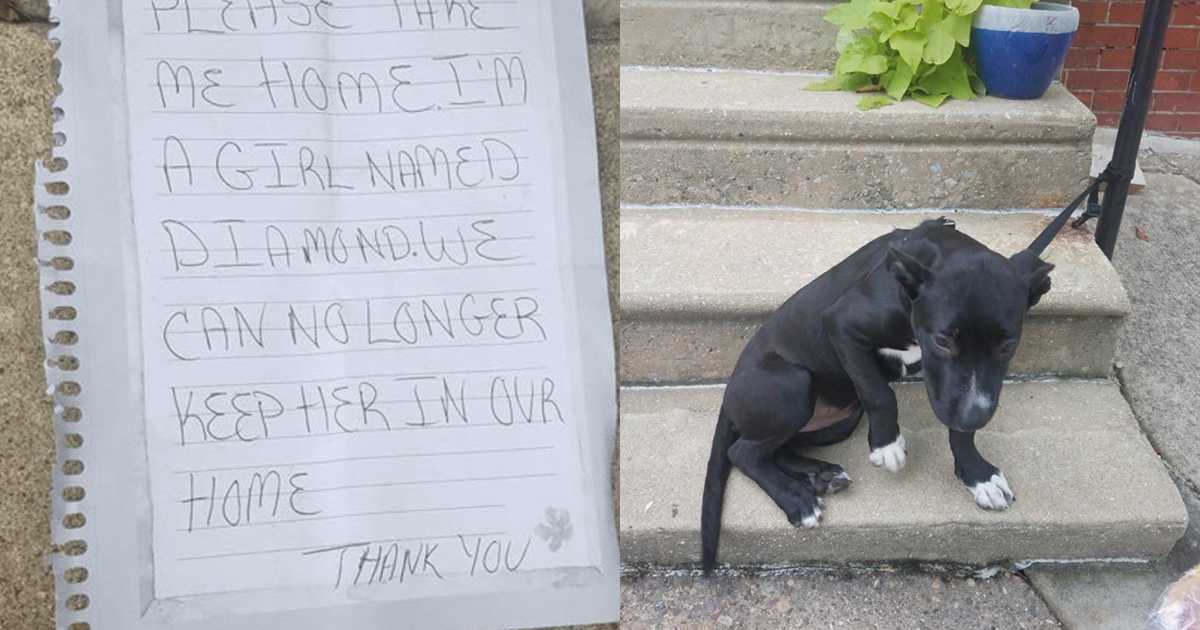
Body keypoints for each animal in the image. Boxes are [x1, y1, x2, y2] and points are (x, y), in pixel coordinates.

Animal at [700, 218, 1056, 571]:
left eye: (1007, 346)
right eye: (942, 340)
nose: (976, 416)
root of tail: (728, 394)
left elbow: (959, 431)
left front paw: (977, 475)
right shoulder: (841, 325)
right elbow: (880, 393)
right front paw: (887, 444)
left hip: (839, 422)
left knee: (776, 449)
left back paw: (821, 475)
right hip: (793, 384)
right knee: (743, 452)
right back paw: (796, 499)